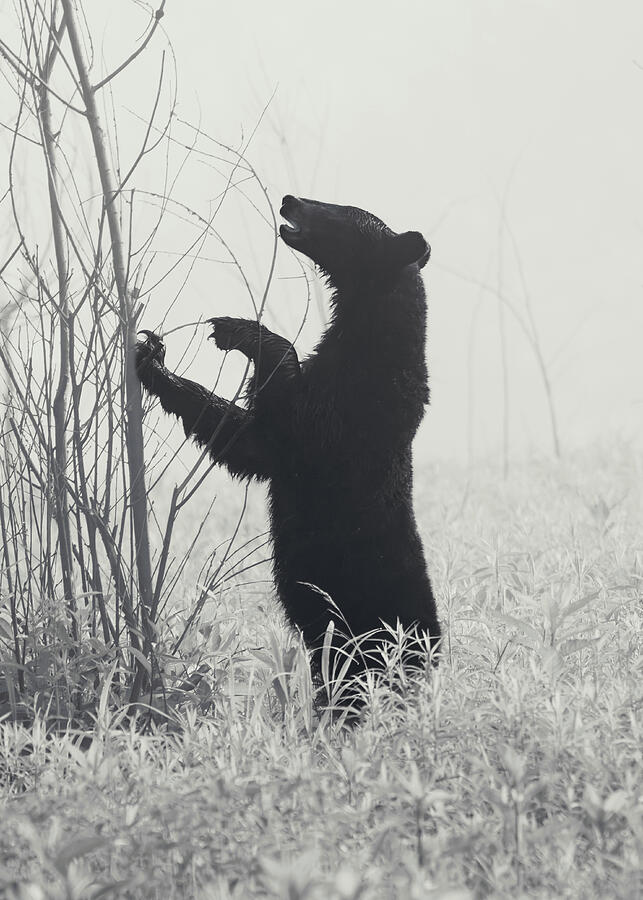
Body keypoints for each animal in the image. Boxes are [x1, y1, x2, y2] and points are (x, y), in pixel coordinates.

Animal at [136, 195, 441, 696]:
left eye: (340, 211)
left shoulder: (344, 418)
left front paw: (237, 329)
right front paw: (152, 355)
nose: (290, 201)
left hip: (365, 631)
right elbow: (243, 437)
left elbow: (274, 434)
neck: (370, 342)